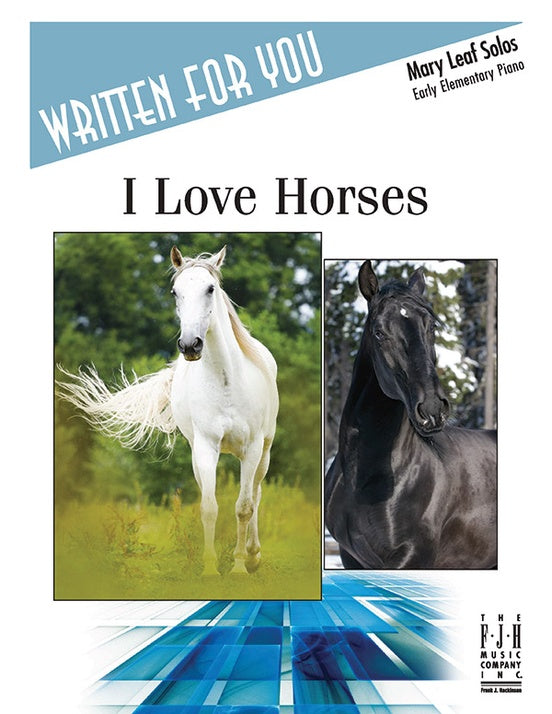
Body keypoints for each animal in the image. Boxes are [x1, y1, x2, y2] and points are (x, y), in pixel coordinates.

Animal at [57, 246, 279, 575]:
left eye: (210, 288)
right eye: (176, 292)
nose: (190, 345)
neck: (226, 381)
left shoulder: (251, 448)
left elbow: (244, 507)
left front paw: (240, 567)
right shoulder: (205, 448)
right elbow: (209, 507)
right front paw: (210, 568)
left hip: (263, 451)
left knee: (257, 493)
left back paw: (253, 555)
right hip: (200, 454)